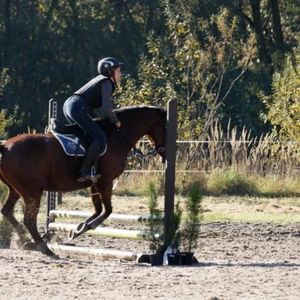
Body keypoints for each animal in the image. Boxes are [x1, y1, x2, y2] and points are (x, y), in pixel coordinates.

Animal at [0, 104, 166, 256]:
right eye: (165, 126)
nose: (164, 154)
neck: (118, 135)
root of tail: (5, 146)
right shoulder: (105, 181)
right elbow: (107, 211)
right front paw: (83, 228)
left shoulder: (94, 182)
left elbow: (97, 210)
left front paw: (77, 229)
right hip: (32, 191)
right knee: (29, 219)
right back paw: (44, 248)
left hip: (15, 189)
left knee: (7, 211)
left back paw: (25, 239)